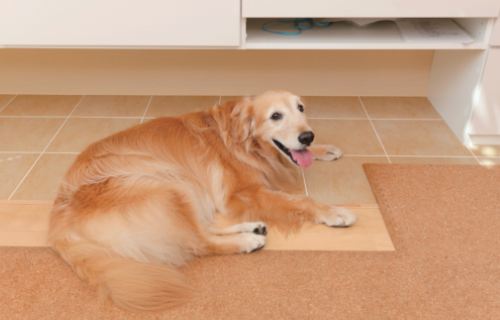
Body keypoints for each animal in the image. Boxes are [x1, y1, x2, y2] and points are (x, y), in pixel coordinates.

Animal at [47, 89, 356, 312]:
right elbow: (302, 200)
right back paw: (248, 240)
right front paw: (336, 212)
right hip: (170, 183)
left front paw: (324, 149)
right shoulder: (242, 193)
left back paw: (251, 228)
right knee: (199, 242)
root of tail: (57, 227)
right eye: (275, 116)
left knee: (202, 230)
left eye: (300, 108)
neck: (245, 143)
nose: (307, 135)